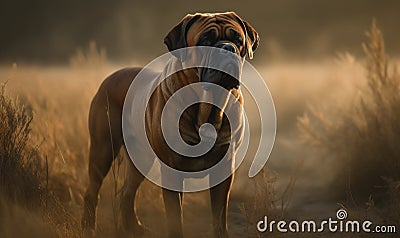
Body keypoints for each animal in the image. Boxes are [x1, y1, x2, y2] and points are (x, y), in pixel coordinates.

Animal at [81, 12, 260, 237]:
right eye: (205, 40)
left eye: (238, 40)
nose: (227, 48)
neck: (207, 106)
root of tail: (111, 76)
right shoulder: (172, 170)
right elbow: (175, 215)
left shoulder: (224, 168)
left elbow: (219, 215)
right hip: (103, 149)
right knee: (92, 191)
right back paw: (88, 226)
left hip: (140, 157)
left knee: (127, 192)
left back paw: (133, 227)